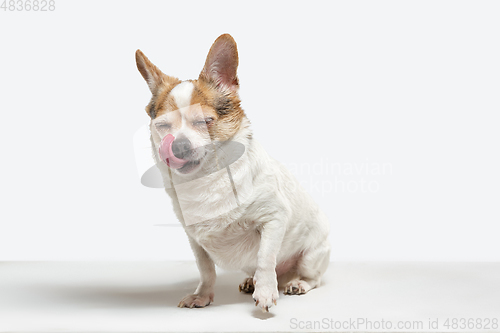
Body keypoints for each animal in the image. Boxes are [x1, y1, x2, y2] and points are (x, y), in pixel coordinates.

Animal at [135, 33, 330, 312]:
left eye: (205, 121)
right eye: (162, 126)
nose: (178, 145)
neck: (207, 179)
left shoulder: (273, 218)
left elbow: (265, 257)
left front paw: (266, 292)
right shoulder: (195, 240)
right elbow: (206, 270)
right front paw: (203, 296)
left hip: (312, 256)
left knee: (313, 277)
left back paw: (297, 283)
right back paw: (252, 282)